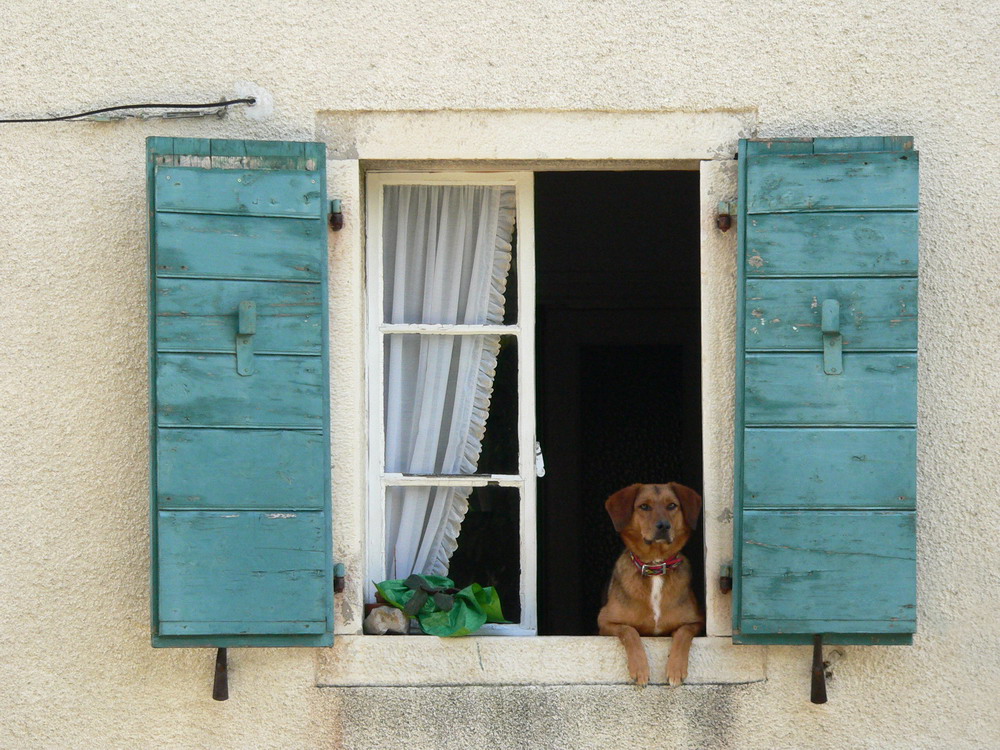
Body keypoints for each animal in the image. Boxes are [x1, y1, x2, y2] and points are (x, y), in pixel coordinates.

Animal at [600, 484, 704, 692]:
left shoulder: (697, 622)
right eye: (644, 506)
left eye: (672, 505)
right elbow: (629, 631)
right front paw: (640, 669)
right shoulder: (604, 621)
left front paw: (676, 668)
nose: (663, 526)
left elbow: (683, 633)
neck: (655, 566)